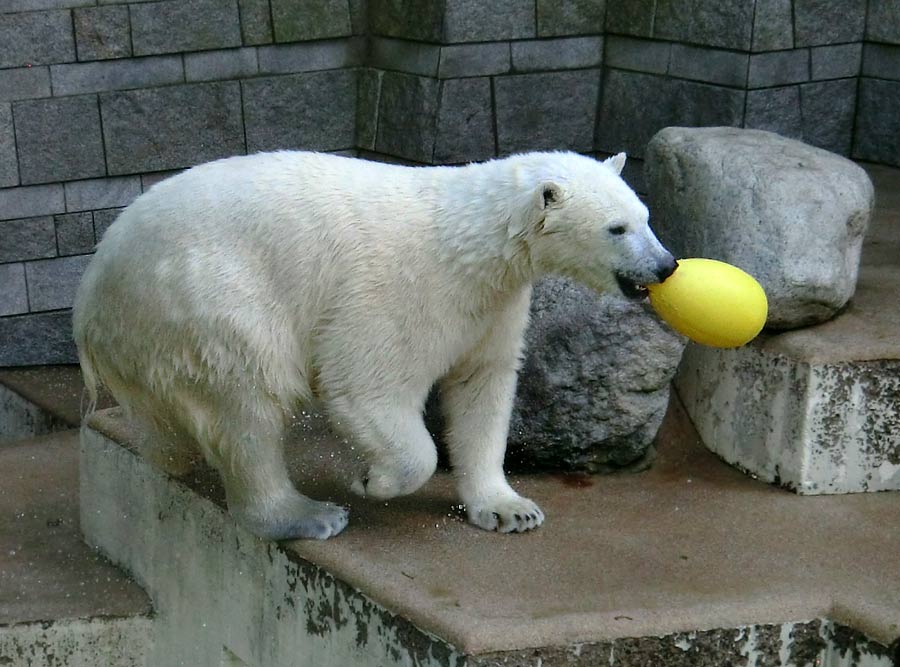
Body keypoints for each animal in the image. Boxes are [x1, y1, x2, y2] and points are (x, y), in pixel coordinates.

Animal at [72, 151, 676, 544]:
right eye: (617, 228)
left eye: (647, 217)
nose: (666, 265)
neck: (472, 243)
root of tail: (91, 295)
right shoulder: (404, 290)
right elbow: (369, 386)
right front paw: (374, 480)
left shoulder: (494, 307)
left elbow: (483, 387)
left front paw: (509, 509)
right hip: (202, 296)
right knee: (247, 398)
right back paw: (307, 515)